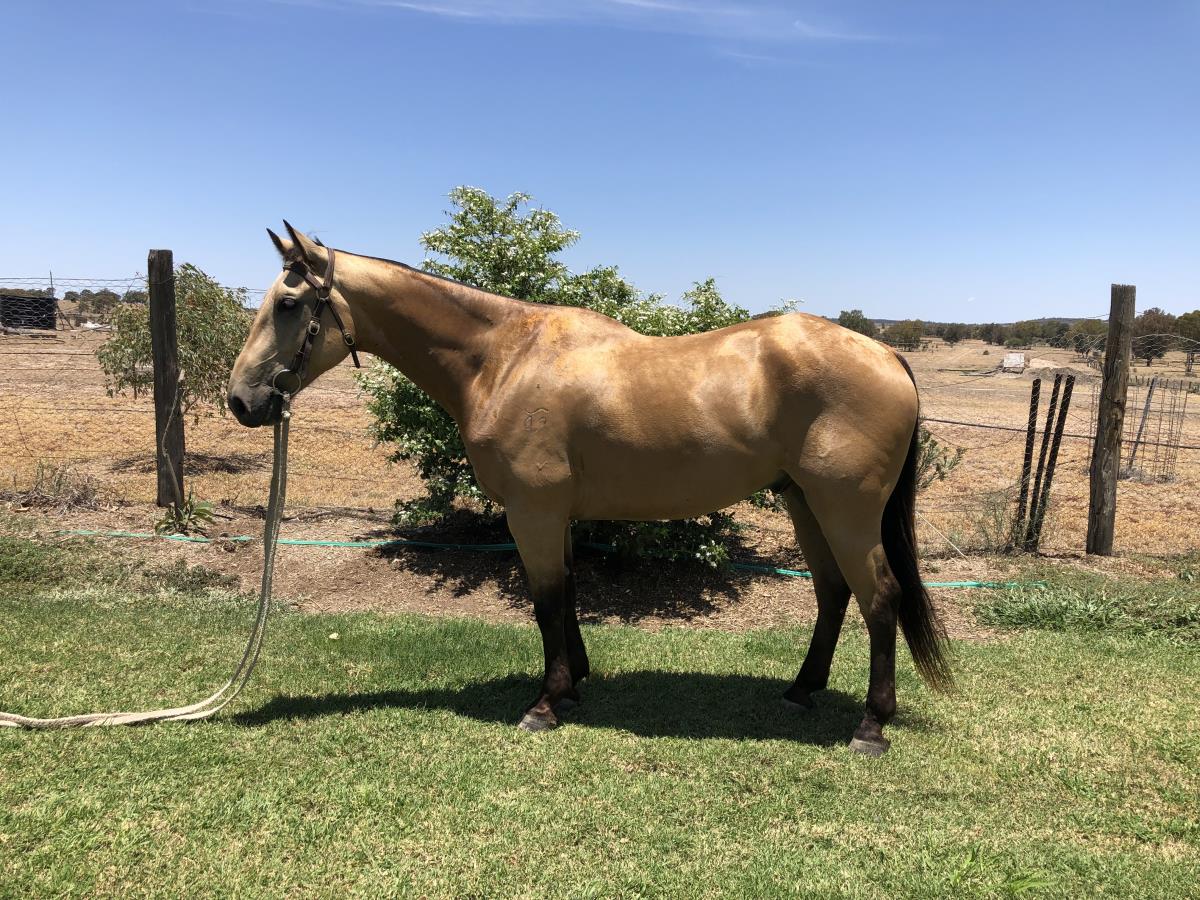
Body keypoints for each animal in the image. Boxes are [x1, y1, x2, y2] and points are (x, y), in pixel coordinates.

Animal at [227, 222, 950, 756]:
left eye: (288, 304)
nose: (240, 400)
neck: (502, 359)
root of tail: (887, 355)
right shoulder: (558, 516)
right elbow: (568, 593)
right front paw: (575, 682)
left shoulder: (534, 513)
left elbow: (546, 600)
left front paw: (546, 703)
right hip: (804, 502)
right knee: (833, 593)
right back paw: (802, 691)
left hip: (844, 509)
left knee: (878, 596)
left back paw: (870, 726)